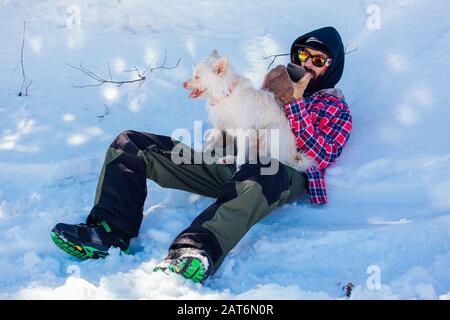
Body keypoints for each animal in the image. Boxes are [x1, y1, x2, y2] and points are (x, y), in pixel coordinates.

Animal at [182, 49, 312, 172]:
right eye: (194, 75)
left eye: (197, 77)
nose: (183, 84)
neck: (225, 94)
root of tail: (293, 157)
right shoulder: (219, 124)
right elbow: (212, 138)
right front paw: (202, 149)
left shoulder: (243, 133)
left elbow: (240, 158)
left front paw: (237, 172)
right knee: (253, 158)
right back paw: (228, 159)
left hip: (270, 131)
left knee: (271, 160)